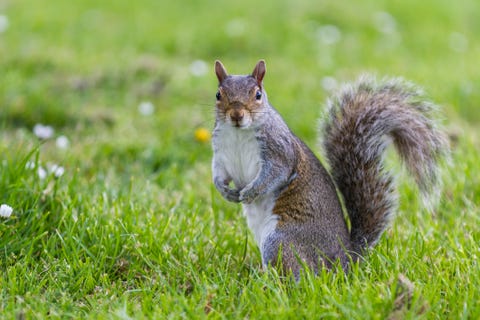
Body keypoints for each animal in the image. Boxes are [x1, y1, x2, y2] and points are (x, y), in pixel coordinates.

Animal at [212, 60, 448, 278]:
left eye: (258, 95)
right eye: (218, 94)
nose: (236, 115)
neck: (238, 133)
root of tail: (346, 259)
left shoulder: (280, 151)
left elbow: (275, 174)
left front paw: (249, 192)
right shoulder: (221, 154)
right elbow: (219, 174)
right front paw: (226, 192)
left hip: (280, 239)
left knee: (300, 275)